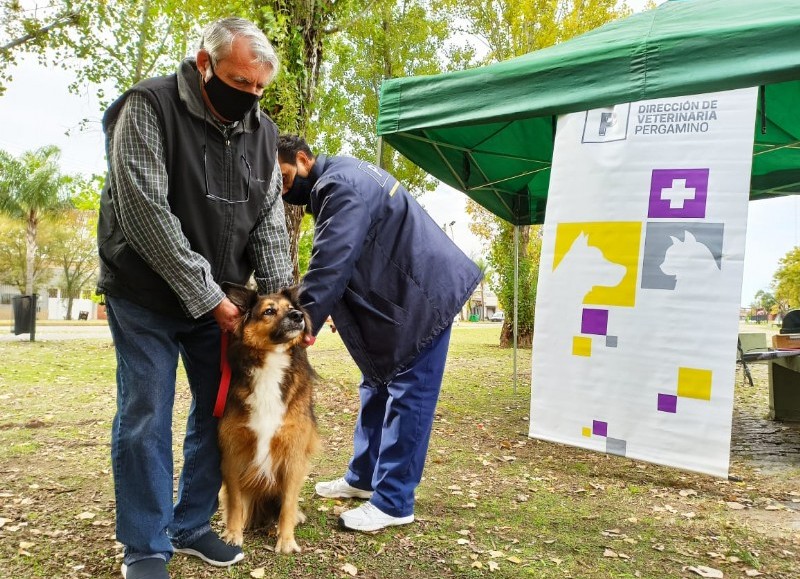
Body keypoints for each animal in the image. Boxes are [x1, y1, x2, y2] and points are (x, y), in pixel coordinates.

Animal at [219, 284, 322, 556]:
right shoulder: (233, 452)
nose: (298, 315)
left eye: (292, 308)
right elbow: (235, 502)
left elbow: (287, 504)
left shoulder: (294, 454)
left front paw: (286, 540)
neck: (271, 363)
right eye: (268, 311)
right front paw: (233, 534)